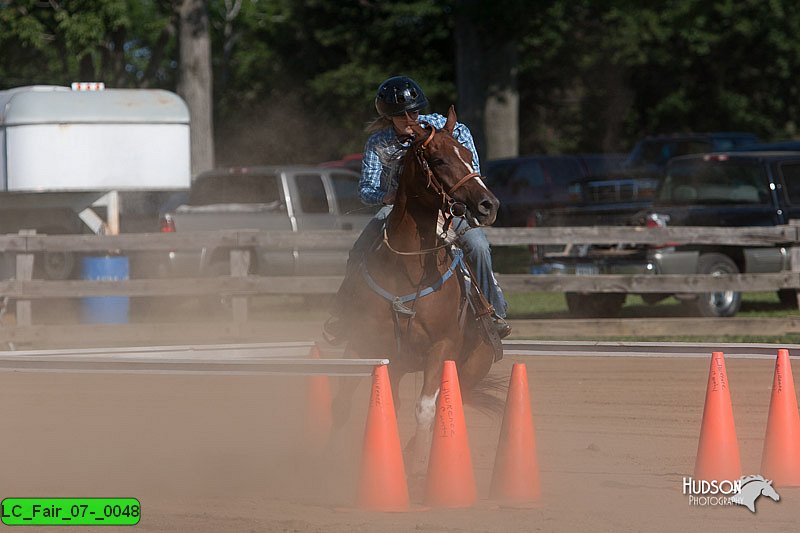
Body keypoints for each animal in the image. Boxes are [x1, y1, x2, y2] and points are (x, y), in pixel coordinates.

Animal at [330, 105, 500, 478]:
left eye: (468, 155)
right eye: (437, 159)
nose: (488, 205)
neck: (408, 270)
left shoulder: (441, 347)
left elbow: (425, 409)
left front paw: (415, 463)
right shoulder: (365, 344)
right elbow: (346, 400)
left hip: (469, 370)